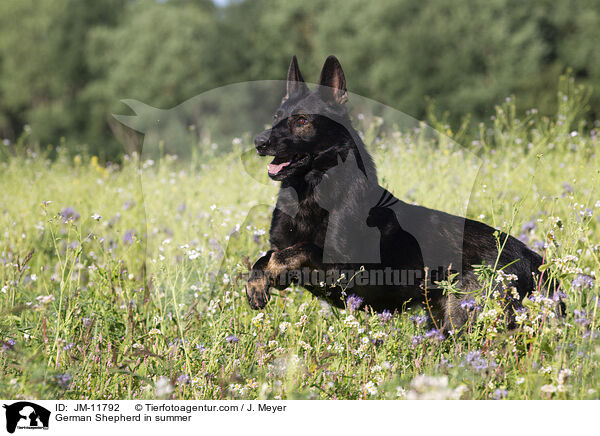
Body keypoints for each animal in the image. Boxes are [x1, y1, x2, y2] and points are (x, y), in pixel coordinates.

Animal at [244, 57, 556, 330]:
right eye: (276, 117)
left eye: (301, 120)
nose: (259, 142)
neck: (311, 194)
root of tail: (533, 258)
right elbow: (267, 257)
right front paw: (256, 282)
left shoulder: (345, 272)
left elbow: (300, 249)